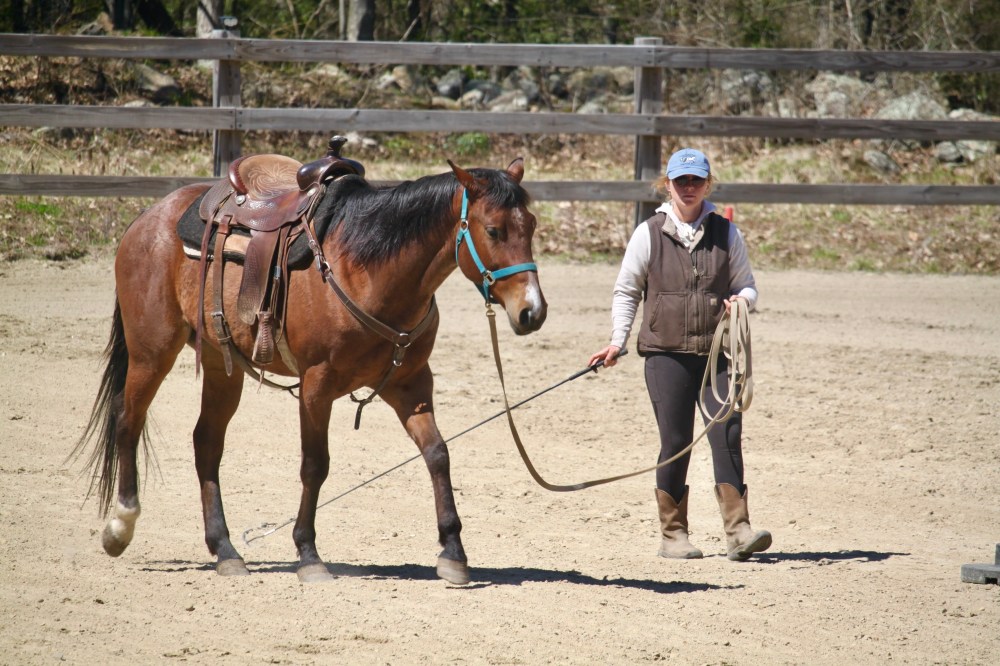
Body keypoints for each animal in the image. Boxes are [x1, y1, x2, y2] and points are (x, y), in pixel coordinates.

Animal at [73, 154, 547, 585]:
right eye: (493, 230)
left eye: (532, 226)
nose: (532, 312)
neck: (367, 268)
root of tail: (148, 218)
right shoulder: (317, 387)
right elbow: (315, 465)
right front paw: (308, 554)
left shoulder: (410, 383)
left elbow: (437, 453)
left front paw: (452, 552)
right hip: (152, 352)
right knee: (128, 421)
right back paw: (120, 526)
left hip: (221, 364)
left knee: (206, 442)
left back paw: (226, 550)